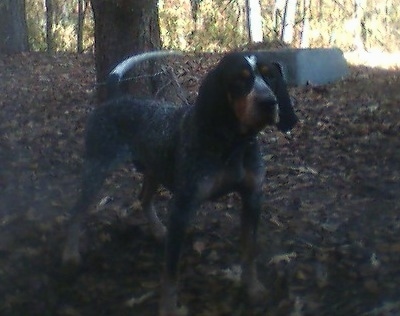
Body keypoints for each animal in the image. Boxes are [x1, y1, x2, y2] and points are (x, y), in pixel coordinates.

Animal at [62, 50, 298, 314]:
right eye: (239, 79)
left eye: (271, 77)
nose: (269, 102)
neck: (233, 144)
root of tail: (114, 99)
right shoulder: (183, 208)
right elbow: (171, 271)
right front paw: (168, 308)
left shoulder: (252, 200)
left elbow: (249, 251)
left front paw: (253, 288)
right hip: (97, 169)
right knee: (77, 212)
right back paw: (70, 255)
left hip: (154, 168)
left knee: (143, 199)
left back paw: (158, 230)